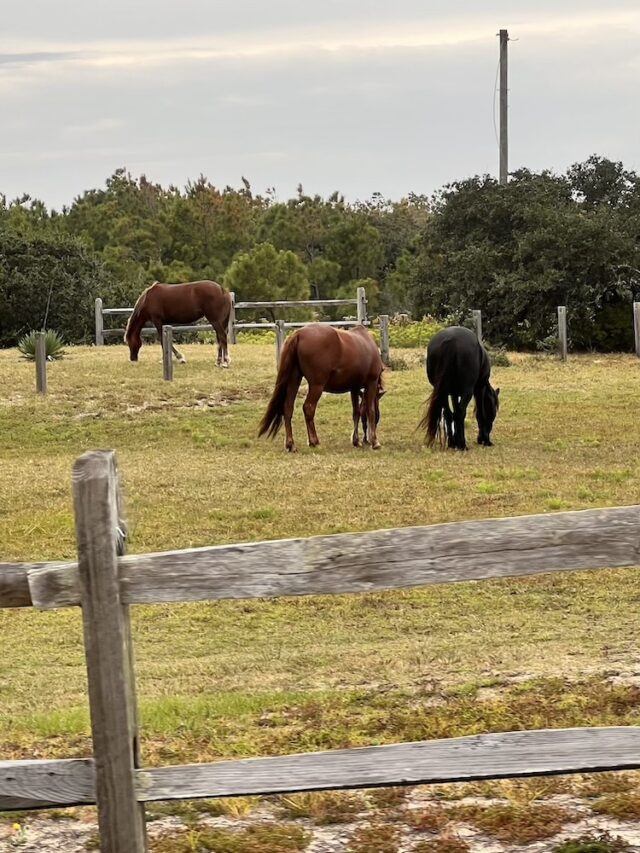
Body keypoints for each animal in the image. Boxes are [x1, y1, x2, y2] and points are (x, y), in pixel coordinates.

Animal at [256, 322, 384, 452]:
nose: (366, 440)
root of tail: (298, 334)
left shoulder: (354, 387)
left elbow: (356, 412)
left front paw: (356, 441)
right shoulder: (371, 383)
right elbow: (370, 410)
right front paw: (375, 442)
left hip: (294, 380)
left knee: (288, 408)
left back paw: (291, 444)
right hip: (317, 386)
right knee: (308, 408)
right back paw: (314, 441)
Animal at [420, 322, 500, 450]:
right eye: (492, 412)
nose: (483, 438)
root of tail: (450, 340)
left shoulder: (454, 393)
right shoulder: (479, 389)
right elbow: (480, 413)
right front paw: (486, 441)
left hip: (442, 391)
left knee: (448, 414)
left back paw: (452, 443)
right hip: (467, 392)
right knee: (460, 413)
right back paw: (462, 445)